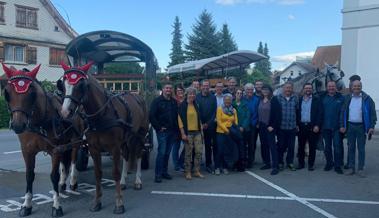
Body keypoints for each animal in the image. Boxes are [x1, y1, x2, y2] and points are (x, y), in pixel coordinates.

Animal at [1, 63, 85, 216]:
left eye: (32, 93)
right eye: (7, 93)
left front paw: (56, 205)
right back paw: (62, 184)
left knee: (74, 160)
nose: (17, 125)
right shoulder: (27, 151)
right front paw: (26, 205)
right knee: (65, 163)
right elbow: (29, 175)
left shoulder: (55, 150)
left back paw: (72, 182)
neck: (39, 121)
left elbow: (53, 176)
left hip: (76, 141)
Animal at [58, 61, 149, 215]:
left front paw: (119, 203)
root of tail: (137, 97)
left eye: (81, 85)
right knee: (126, 155)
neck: (101, 115)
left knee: (138, 154)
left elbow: (115, 173)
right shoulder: (94, 148)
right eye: (63, 84)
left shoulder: (114, 147)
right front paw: (97, 202)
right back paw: (124, 182)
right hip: (126, 139)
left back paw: (137, 181)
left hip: (141, 135)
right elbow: (98, 173)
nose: (65, 112)